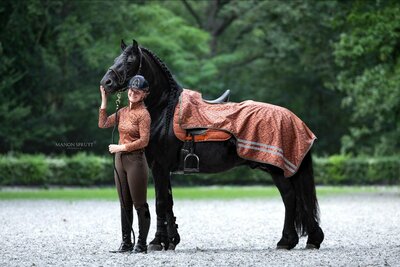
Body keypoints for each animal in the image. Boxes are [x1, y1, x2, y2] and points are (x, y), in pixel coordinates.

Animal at [100, 39, 324, 251]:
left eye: (129, 61)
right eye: (116, 59)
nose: (106, 82)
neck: (164, 110)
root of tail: (295, 120)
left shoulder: (159, 167)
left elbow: (160, 203)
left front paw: (157, 242)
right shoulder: (164, 169)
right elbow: (169, 202)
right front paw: (171, 241)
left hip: (277, 170)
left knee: (290, 198)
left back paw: (292, 240)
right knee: (296, 199)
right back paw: (302, 239)